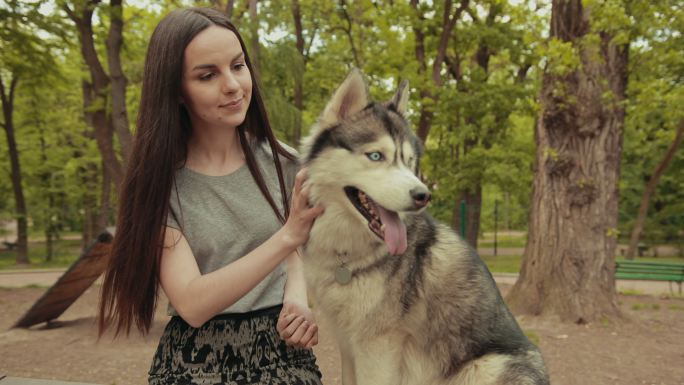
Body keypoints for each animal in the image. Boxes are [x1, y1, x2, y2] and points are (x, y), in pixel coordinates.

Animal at [300, 70, 552, 384]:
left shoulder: (377, 347)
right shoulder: (348, 344)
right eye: (376, 156)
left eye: (409, 161)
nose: (423, 195)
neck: (346, 253)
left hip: (483, 368)